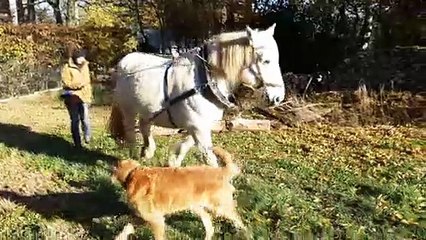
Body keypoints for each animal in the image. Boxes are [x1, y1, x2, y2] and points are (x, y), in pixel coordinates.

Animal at [108, 24, 284, 167]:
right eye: (266, 61)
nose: (278, 97)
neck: (205, 81)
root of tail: (123, 63)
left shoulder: (200, 126)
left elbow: (185, 146)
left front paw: (174, 163)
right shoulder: (198, 127)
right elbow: (210, 159)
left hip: (149, 110)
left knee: (145, 126)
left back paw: (148, 151)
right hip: (128, 110)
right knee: (131, 131)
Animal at [111, 146, 248, 240]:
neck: (132, 175)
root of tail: (219, 171)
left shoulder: (156, 220)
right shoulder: (142, 218)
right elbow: (126, 229)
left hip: (219, 207)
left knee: (238, 219)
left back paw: (245, 233)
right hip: (196, 207)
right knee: (210, 225)